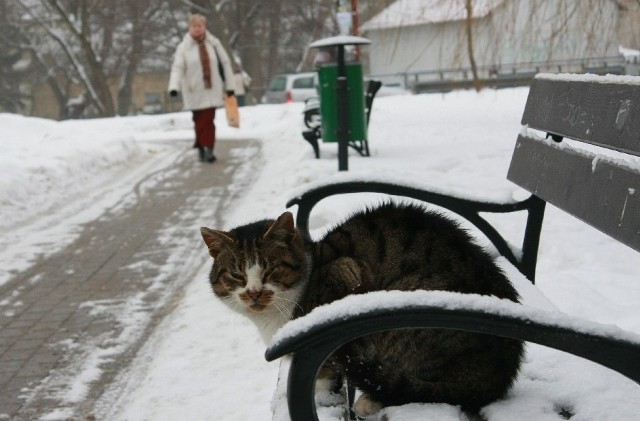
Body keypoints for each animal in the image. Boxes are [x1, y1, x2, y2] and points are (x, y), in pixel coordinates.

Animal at [201, 202, 524, 416]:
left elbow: (326, 369)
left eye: (271, 269)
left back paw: (371, 400)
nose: (254, 292)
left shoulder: (345, 273)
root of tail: (500, 377)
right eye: (237, 275)